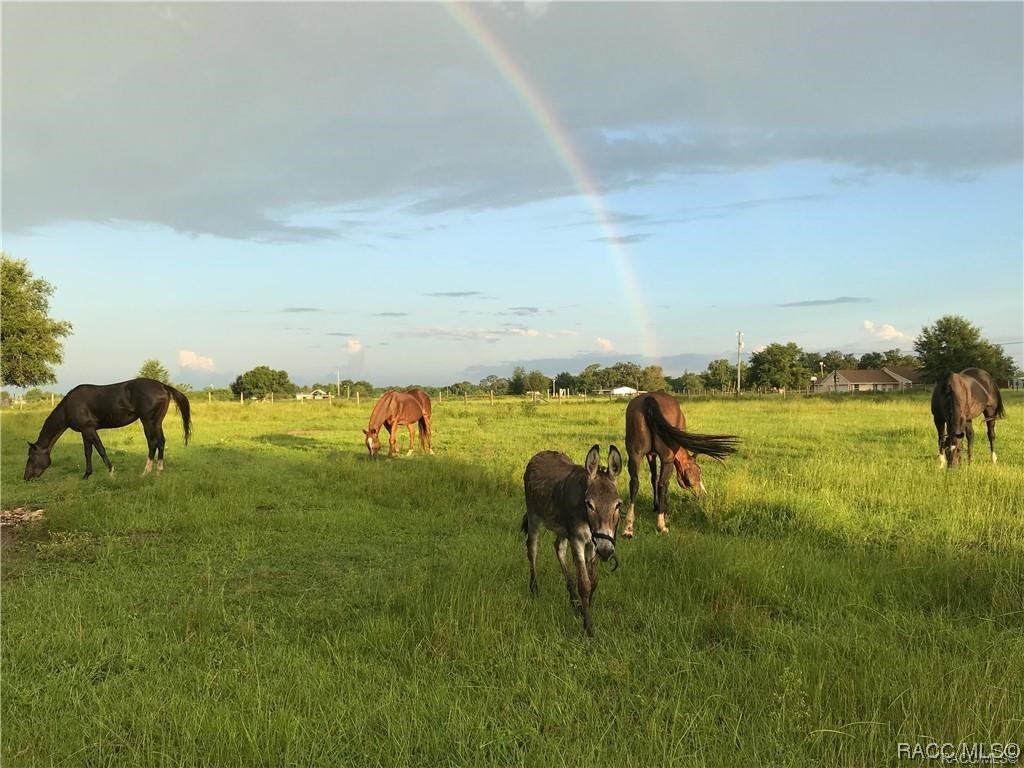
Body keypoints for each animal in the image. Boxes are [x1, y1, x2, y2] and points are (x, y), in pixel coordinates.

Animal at [24, 378, 191, 481]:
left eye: (31, 457)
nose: (26, 477)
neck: (69, 407)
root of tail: (163, 386)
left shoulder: (89, 429)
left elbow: (101, 449)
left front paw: (111, 473)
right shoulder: (85, 432)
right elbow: (88, 453)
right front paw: (86, 475)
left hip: (148, 421)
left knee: (152, 443)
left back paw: (145, 473)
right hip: (156, 422)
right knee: (161, 442)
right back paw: (158, 472)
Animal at [520, 444, 622, 638]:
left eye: (618, 505)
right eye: (590, 505)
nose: (607, 552)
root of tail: (543, 452)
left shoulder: (593, 543)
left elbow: (593, 581)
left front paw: (585, 609)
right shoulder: (578, 539)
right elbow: (585, 583)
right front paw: (588, 628)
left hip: (563, 529)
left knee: (558, 547)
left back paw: (574, 601)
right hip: (534, 516)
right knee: (532, 550)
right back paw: (534, 589)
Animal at [618, 393, 741, 536]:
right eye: (698, 472)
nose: (703, 494)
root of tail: (649, 399)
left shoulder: (650, 455)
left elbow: (653, 479)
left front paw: (656, 506)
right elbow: (662, 483)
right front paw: (664, 511)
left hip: (635, 456)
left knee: (634, 483)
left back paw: (628, 527)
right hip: (667, 459)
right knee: (662, 484)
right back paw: (661, 525)